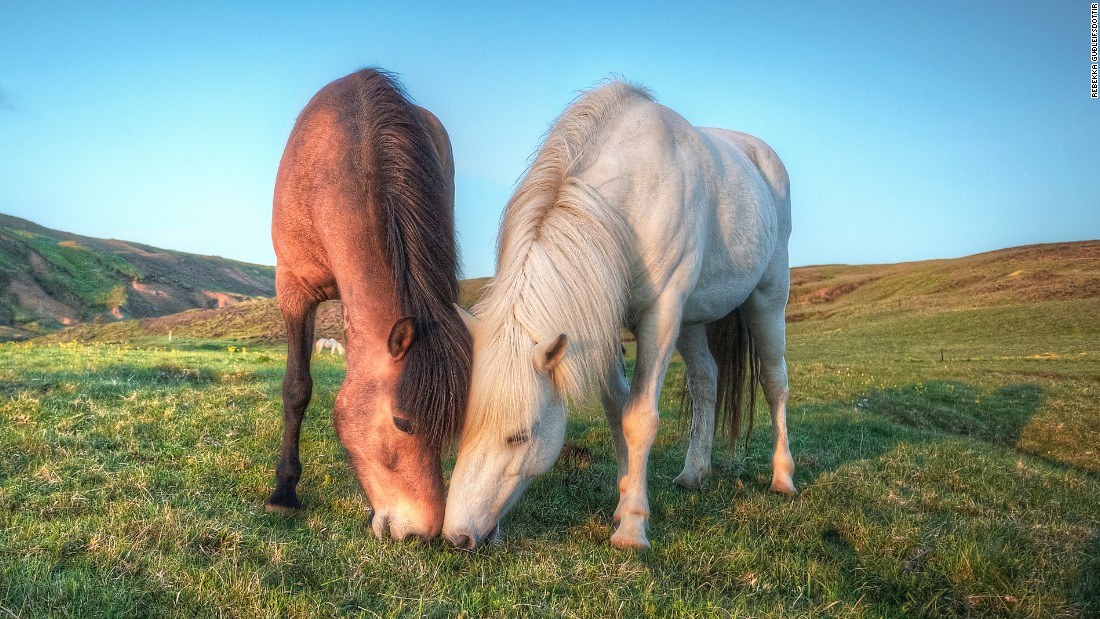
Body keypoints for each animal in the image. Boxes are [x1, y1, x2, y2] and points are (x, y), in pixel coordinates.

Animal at [442, 79, 796, 549]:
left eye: (519, 436)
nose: (455, 536)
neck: (629, 197)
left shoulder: (660, 315)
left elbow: (639, 417)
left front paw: (632, 525)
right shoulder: (604, 319)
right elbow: (616, 412)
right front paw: (625, 496)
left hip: (767, 297)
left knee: (775, 383)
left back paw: (783, 477)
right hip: (693, 320)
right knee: (706, 381)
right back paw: (694, 473)